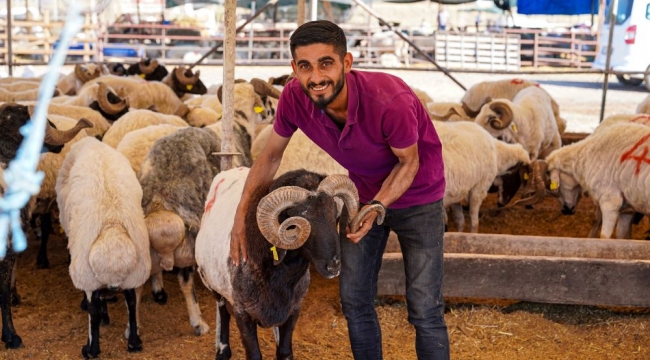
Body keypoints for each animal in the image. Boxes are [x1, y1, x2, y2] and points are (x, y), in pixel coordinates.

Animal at [54, 137, 151, 358]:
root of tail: (112, 221)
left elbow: (95, 305)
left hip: (85, 269)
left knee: (93, 308)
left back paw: (90, 349)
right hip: (137, 270)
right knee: (131, 300)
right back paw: (134, 342)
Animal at [195, 169, 362, 360]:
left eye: (335, 215)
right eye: (297, 221)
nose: (333, 266)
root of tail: (230, 170)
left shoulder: (293, 309)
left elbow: (284, 352)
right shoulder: (242, 313)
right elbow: (254, 355)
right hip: (213, 285)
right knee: (222, 310)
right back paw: (222, 350)